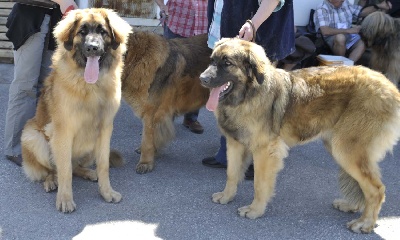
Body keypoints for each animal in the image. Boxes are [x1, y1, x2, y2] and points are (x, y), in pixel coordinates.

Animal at [21, 8, 131, 213]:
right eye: (82, 32)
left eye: (103, 32)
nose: (92, 48)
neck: (91, 86)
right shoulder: (63, 132)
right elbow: (64, 171)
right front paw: (65, 199)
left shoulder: (105, 130)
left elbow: (103, 165)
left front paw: (106, 192)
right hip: (33, 137)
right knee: (52, 170)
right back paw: (51, 181)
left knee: (76, 166)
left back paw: (89, 172)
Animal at [202, 37, 400, 232]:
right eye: (212, 60)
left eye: (227, 63)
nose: (202, 79)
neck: (247, 96)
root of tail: (390, 87)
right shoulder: (235, 144)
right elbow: (232, 173)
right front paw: (226, 196)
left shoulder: (264, 151)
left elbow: (259, 183)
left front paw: (255, 210)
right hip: (341, 148)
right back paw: (351, 206)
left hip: (347, 150)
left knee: (376, 189)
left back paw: (365, 223)